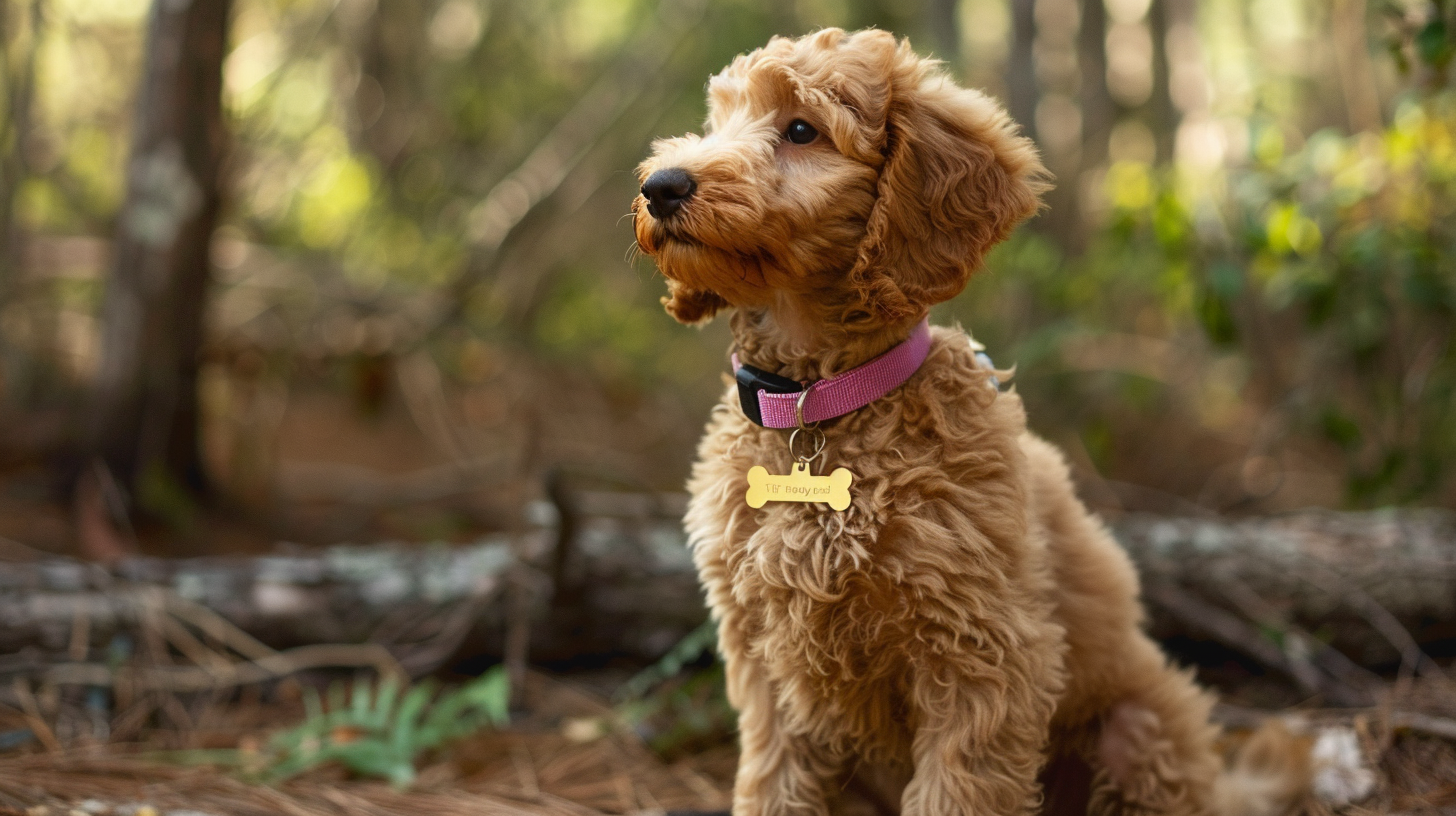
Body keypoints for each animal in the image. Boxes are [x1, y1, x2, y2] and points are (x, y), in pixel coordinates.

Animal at [631, 28, 1304, 810]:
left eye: (801, 130)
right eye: (719, 121)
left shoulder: (982, 653)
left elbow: (956, 790)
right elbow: (773, 785)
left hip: (1137, 731)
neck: (821, 403)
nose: (661, 185)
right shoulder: (765, 666)